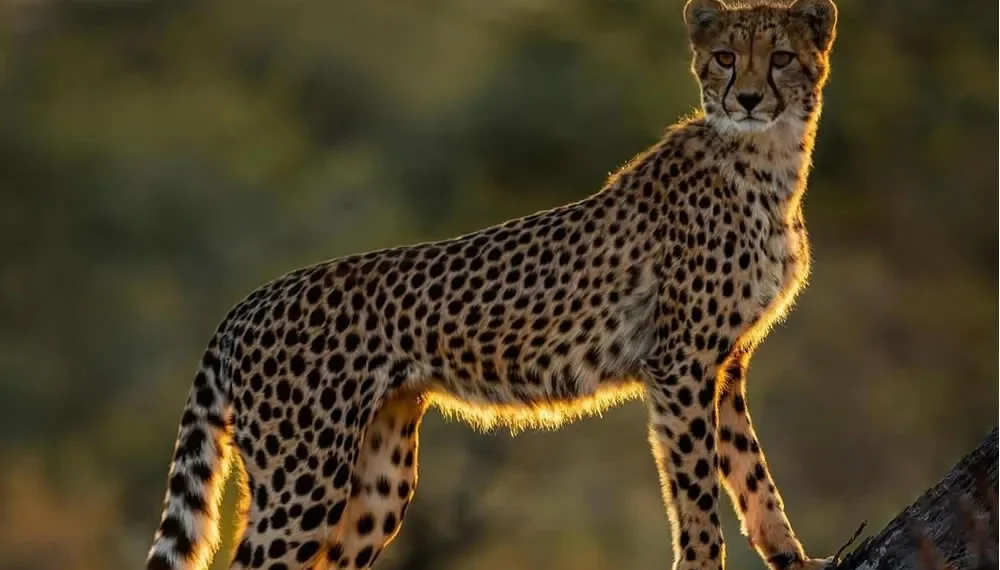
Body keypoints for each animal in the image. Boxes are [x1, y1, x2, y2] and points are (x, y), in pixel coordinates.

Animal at [144, 0, 840, 568]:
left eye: (781, 58)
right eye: (725, 58)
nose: (747, 98)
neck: (769, 161)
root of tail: (250, 301)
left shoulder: (726, 363)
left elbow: (751, 470)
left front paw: (792, 556)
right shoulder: (681, 362)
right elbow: (695, 486)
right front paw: (702, 562)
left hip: (378, 477)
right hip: (305, 476)